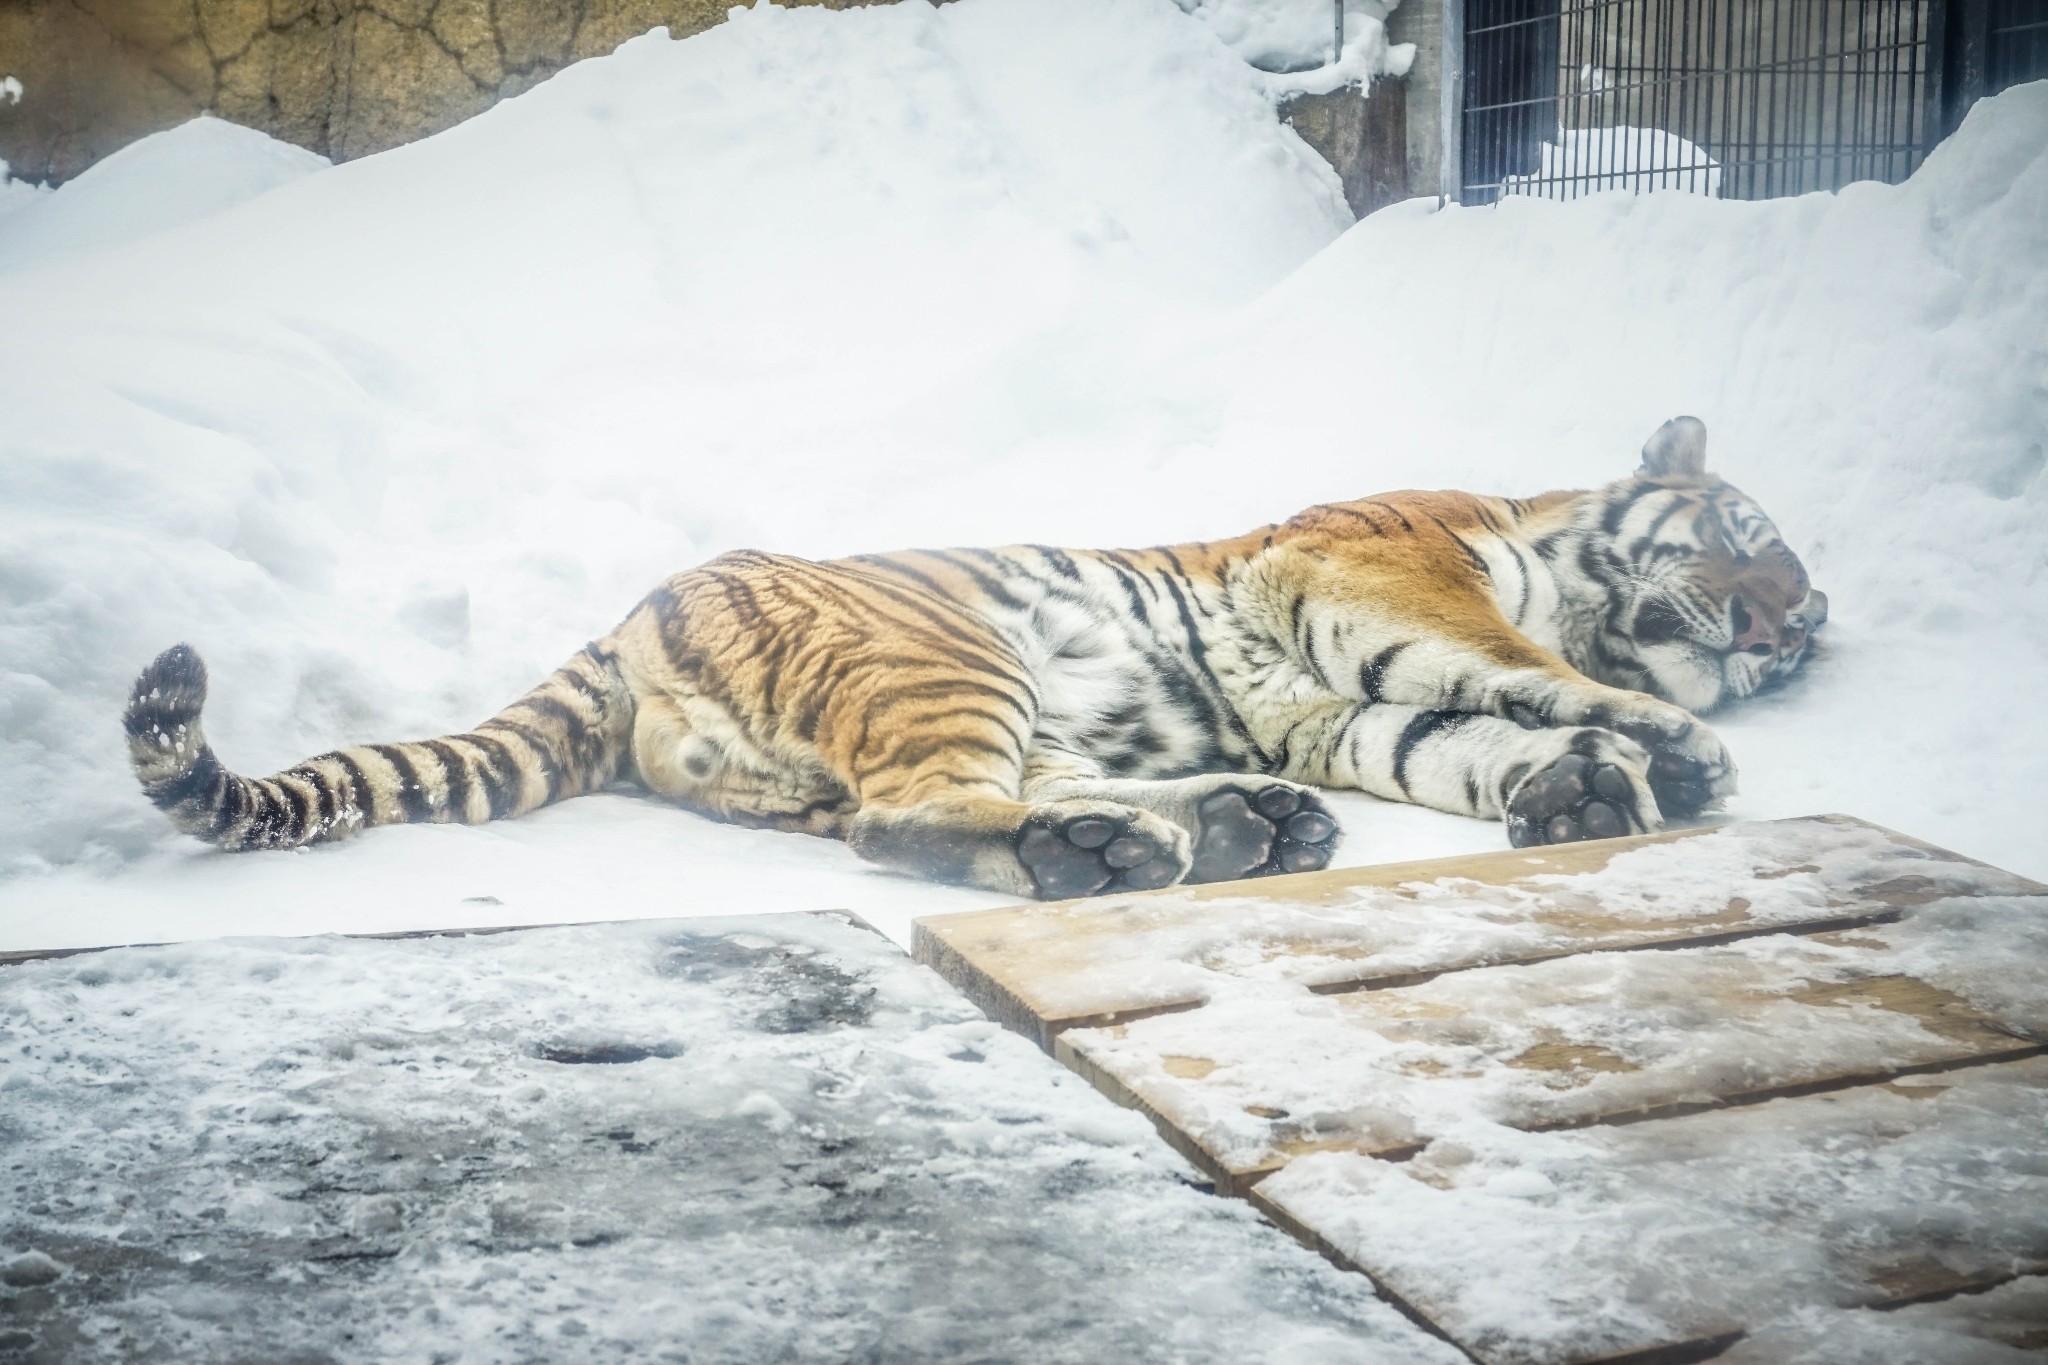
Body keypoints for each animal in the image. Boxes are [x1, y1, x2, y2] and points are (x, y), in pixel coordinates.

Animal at [128, 421, 1826, 900]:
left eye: (1802, 623)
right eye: (1747, 536)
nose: (1776, 632)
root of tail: (628, 620)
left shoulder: (1324, 712)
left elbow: (1452, 742)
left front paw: (1581, 791)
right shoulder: (1384, 575)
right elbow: (1507, 666)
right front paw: (1672, 753)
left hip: (1000, 717)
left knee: (966, 805)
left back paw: (1222, 830)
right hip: (952, 656)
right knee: (902, 819)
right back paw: (1130, 853)